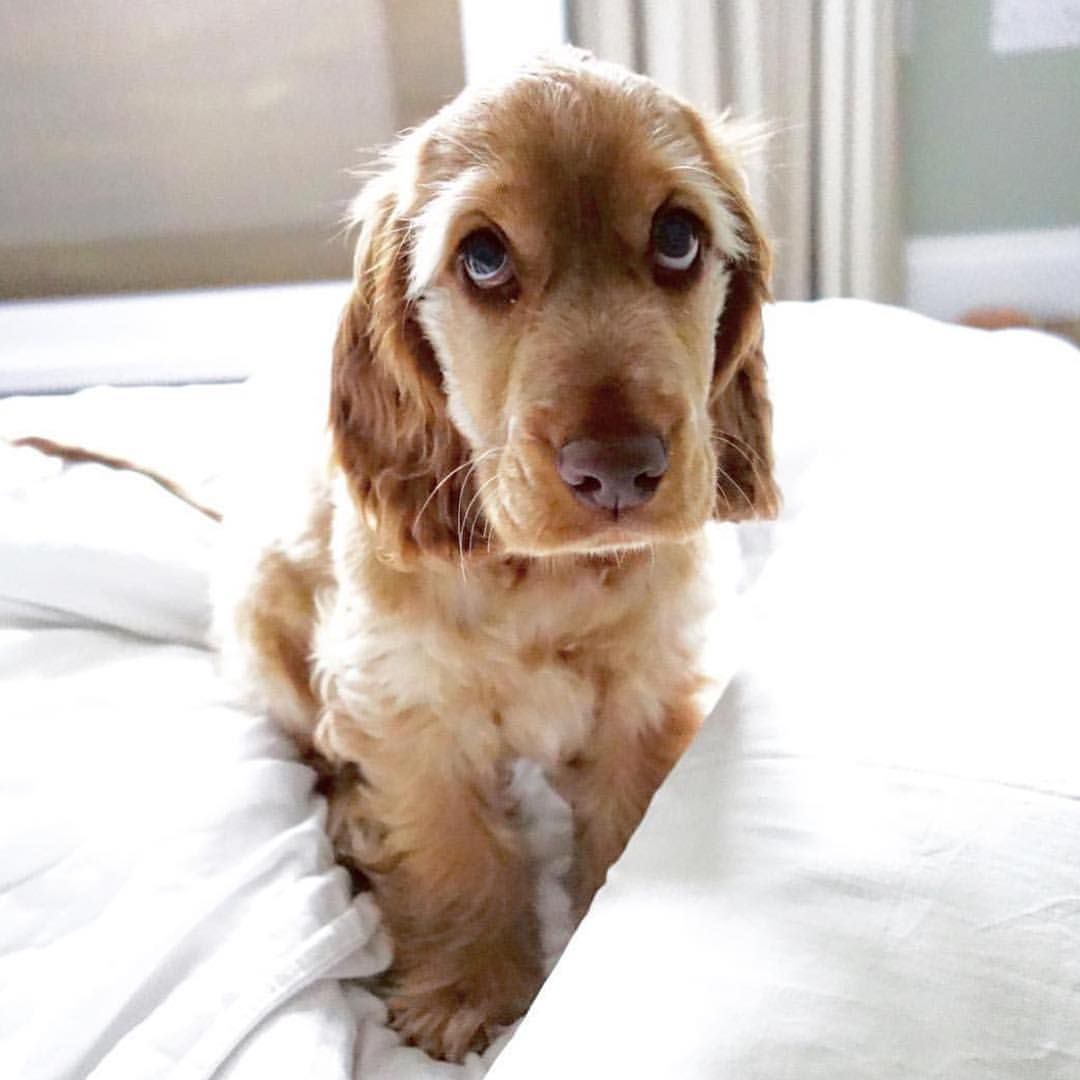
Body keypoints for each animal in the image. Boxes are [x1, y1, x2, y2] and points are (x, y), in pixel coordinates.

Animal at [214, 50, 781, 1062]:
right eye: (484, 257)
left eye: (678, 238)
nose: (618, 468)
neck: (541, 578)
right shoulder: (405, 706)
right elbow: (453, 849)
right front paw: (470, 991)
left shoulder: (645, 689)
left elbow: (628, 825)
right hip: (258, 615)